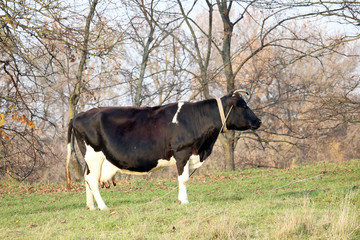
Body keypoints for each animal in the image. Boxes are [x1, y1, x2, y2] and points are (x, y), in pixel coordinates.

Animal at [66, 90, 260, 210]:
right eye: (243, 106)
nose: (258, 121)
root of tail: (78, 116)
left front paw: (180, 200)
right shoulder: (182, 153)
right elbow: (183, 179)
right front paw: (185, 202)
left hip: (90, 159)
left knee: (87, 179)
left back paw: (91, 206)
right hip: (94, 156)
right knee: (92, 180)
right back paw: (103, 206)